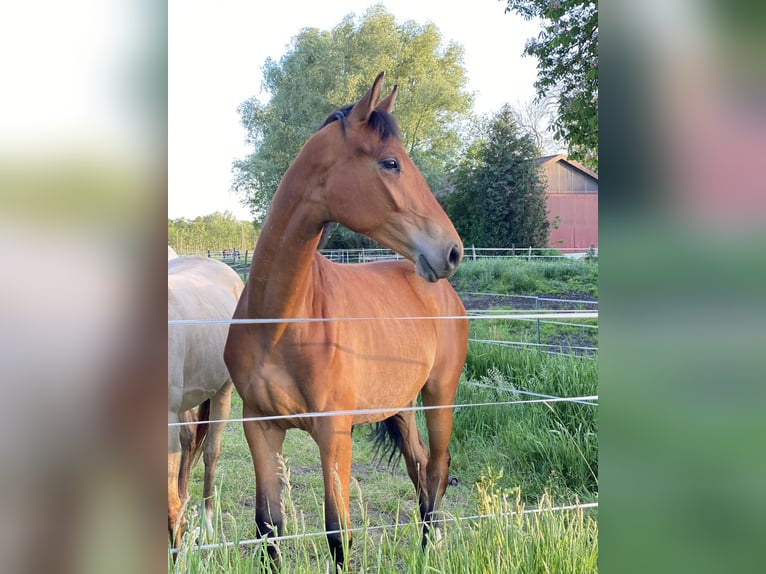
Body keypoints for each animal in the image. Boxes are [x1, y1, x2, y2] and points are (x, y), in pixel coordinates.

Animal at [224, 73, 468, 572]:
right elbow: (268, 527)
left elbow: (338, 534)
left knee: (437, 469)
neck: (280, 323)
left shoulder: (333, 433)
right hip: (402, 404)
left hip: (440, 395)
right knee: (419, 469)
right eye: (390, 163)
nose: (452, 251)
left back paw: (430, 549)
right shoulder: (259, 425)